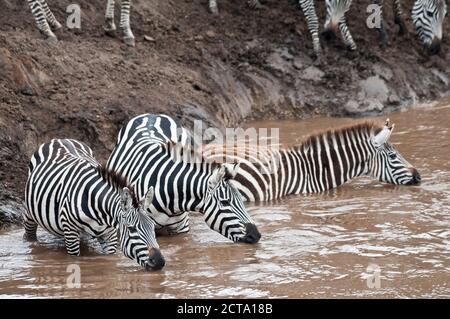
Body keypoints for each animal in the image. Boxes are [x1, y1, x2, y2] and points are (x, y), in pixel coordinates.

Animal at [22, 139, 163, 272]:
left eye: (153, 226)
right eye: (132, 229)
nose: (159, 262)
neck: (100, 213)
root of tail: (59, 139)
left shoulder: (110, 234)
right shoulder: (70, 231)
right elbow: (75, 260)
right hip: (30, 213)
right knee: (29, 234)